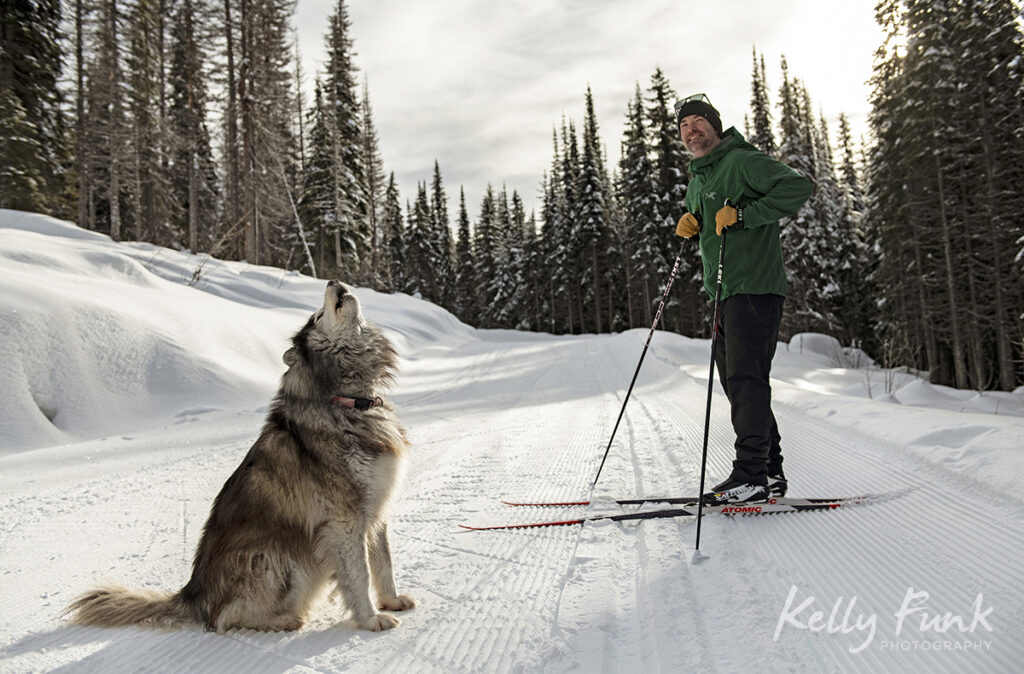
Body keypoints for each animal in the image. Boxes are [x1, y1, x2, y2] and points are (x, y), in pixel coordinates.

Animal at [65, 278, 411, 630]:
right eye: (317, 316)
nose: (332, 281)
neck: (350, 401)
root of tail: (192, 594)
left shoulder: (376, 507)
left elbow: (383, 563)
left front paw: (392, 601)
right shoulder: (344, 520)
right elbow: (359, 574)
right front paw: (371, 619)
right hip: (281, 560)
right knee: (224, 616)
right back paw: (283, 620)